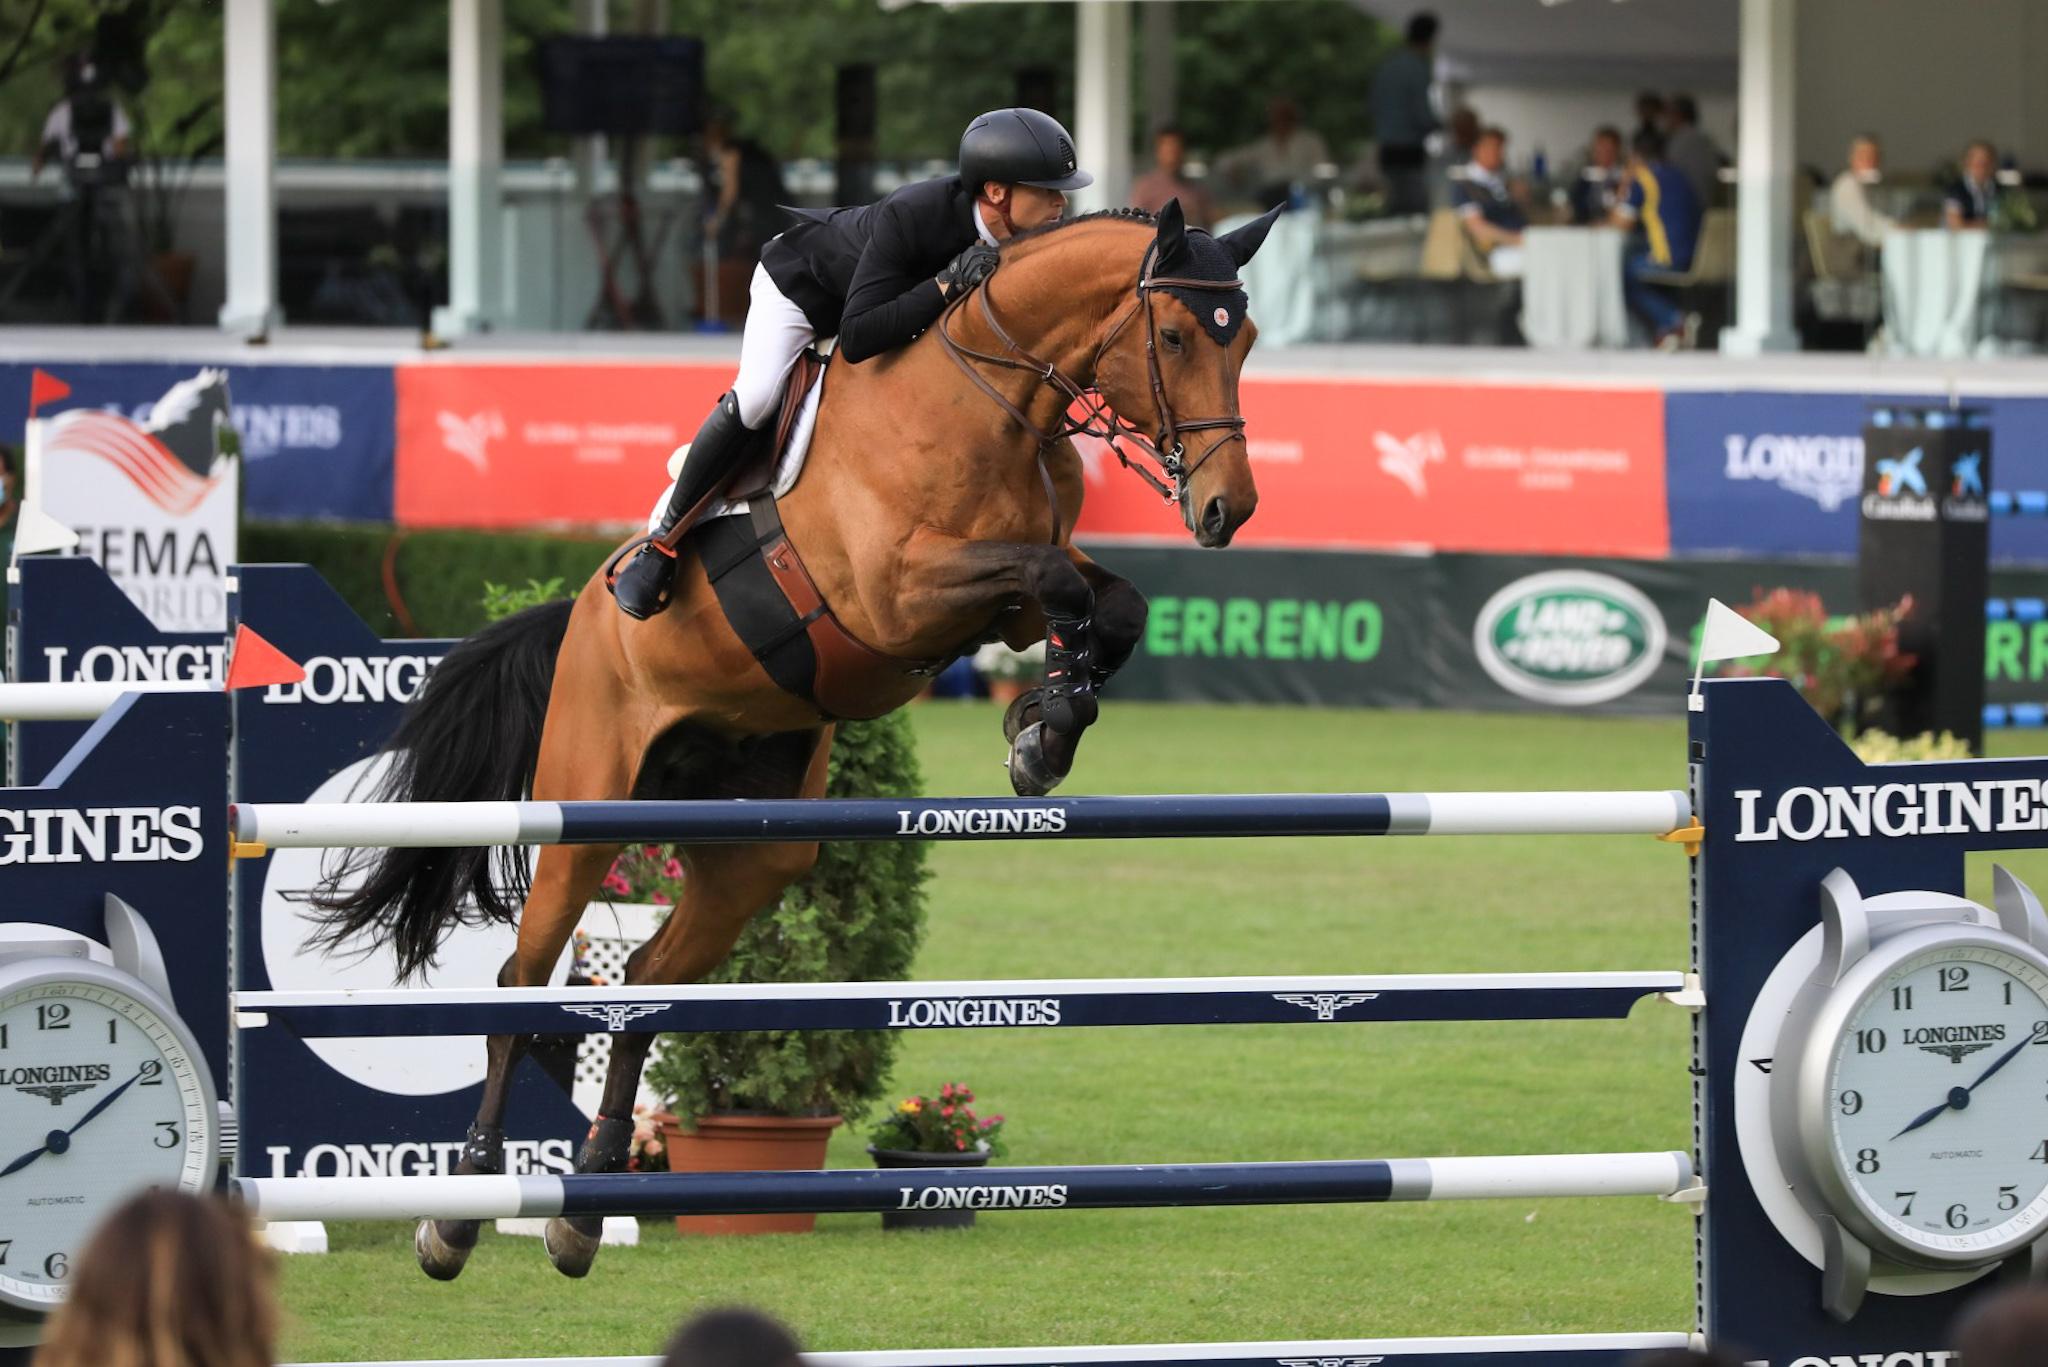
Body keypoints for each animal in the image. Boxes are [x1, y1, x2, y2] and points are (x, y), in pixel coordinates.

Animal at [315, 200, 1277, 1287]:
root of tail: (578, 618)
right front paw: (1042, 722)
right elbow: (1059, 579)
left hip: (753, 847)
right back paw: (461, 1211)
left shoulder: (1003, 595)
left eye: (1243, 339)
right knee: (525, 980)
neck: (992, 396)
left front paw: (1045, 726)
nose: (1226, 507)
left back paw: (584, 1206)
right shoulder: (900, 594)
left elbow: (1104, 600)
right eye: (1174, 336)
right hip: (583, 807)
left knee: (648, 983)